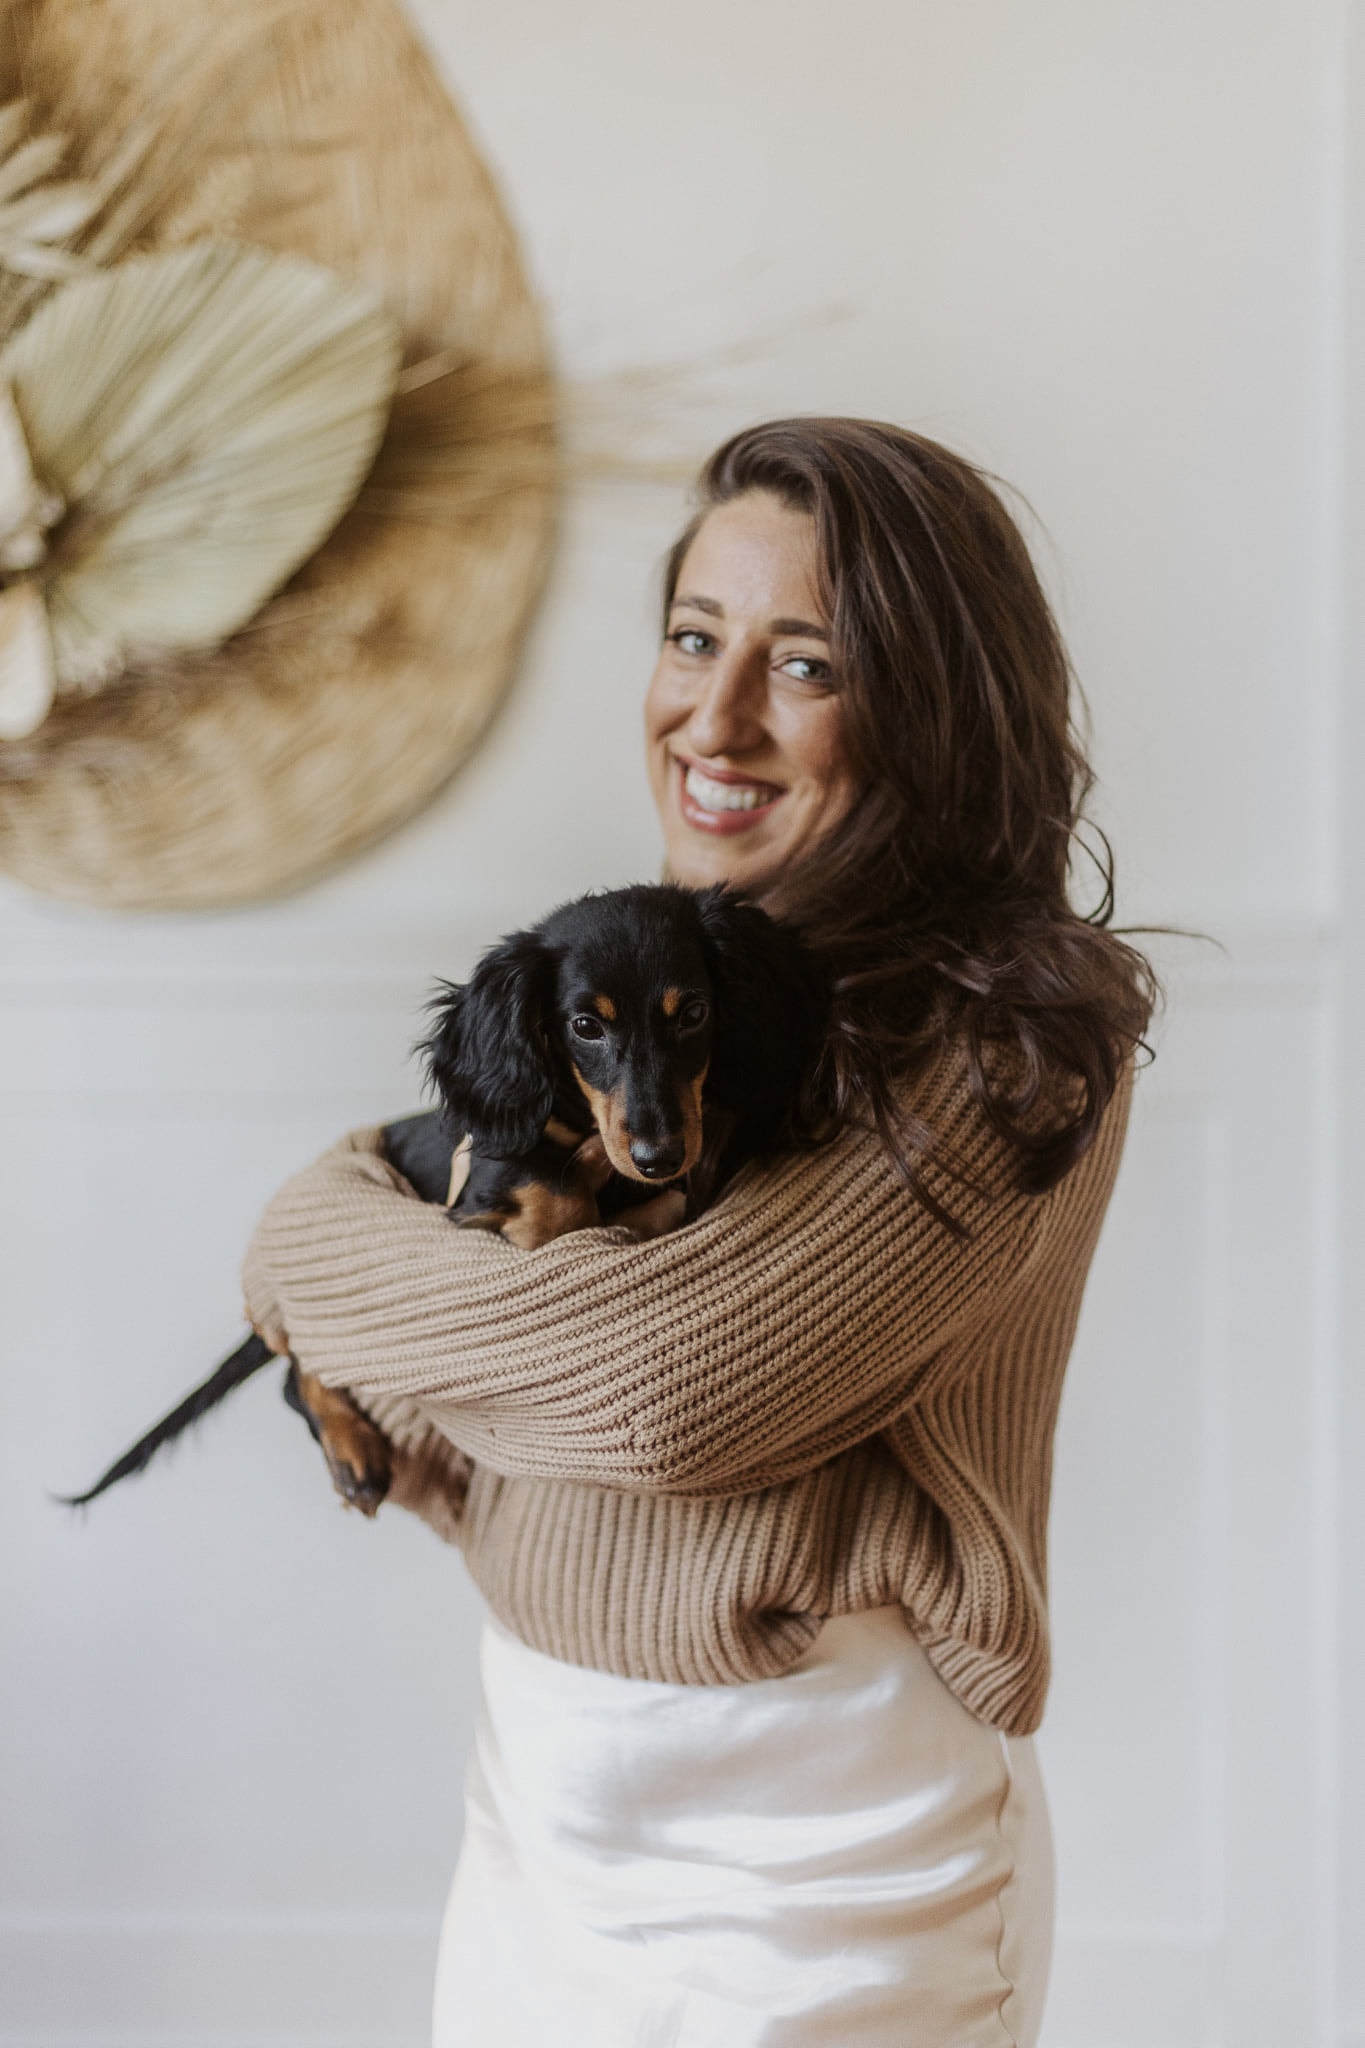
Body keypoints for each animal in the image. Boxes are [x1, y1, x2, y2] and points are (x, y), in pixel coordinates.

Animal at [66, 884, 822, 1523]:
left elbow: (650, 1201)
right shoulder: (475, 1195)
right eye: (585, 1025)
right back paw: (352, 1450)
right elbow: (554, 1195)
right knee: (299, 1368)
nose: (659, 1157)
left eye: (693, 1012)